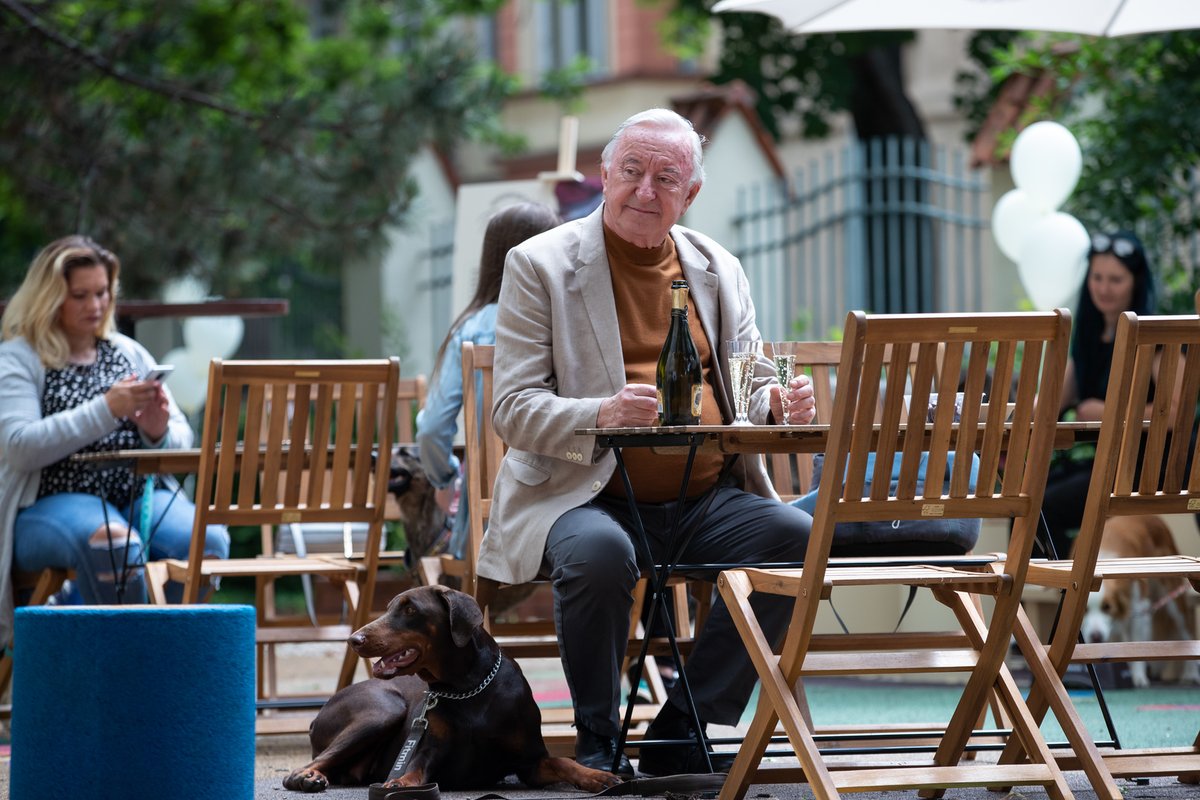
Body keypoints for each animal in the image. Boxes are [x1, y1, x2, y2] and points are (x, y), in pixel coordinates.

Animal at [280, 585, 619, 791]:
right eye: (389, 608)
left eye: (410, 609)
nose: (354, 639)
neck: (466, 688)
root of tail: (316, 715)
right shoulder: (428, 751)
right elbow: (412, 770)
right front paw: (398, 783)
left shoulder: (530, 762)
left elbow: (563, 761)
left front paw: (599, 776)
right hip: (384, 709)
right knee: (301, 768)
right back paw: (308, 777)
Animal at [1080, 515, 1200, 690]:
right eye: (1085, 610)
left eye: (1107, 607)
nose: (1096, 637)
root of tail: (1156, 517)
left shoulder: (1139, 606)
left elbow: (1136, 643)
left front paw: (1138, 677)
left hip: (1172, 596)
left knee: (1187, 631)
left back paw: (1189, 674)